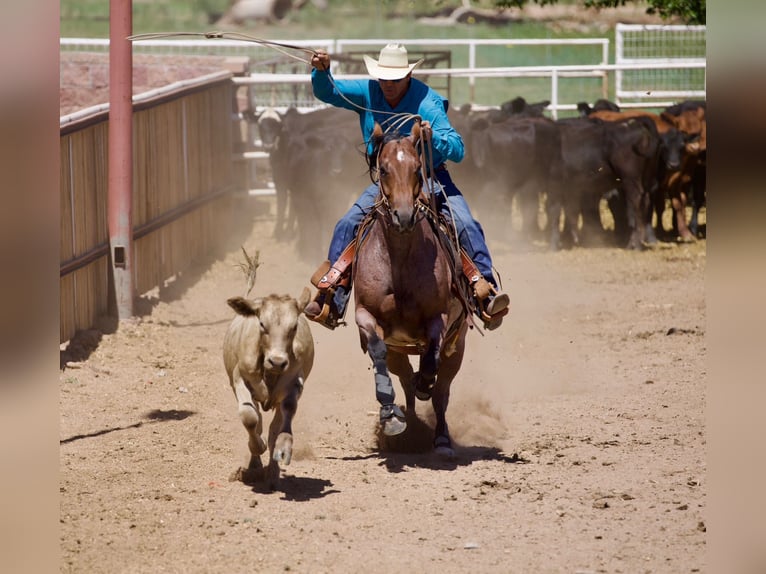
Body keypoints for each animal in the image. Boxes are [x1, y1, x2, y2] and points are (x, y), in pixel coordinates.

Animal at [352, 120, 470, 457]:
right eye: (384, 169)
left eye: (418, 169)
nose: (403, 216)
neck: (399, 260)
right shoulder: (366, 315)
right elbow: (377, 351)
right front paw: (389, 415)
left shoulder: (439, 319)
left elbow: (431, 361)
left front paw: (424, 383)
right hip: (398, 351)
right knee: (404, 381)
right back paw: (408, 430)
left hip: (458, 346)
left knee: (442, 390)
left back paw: (440, 438)